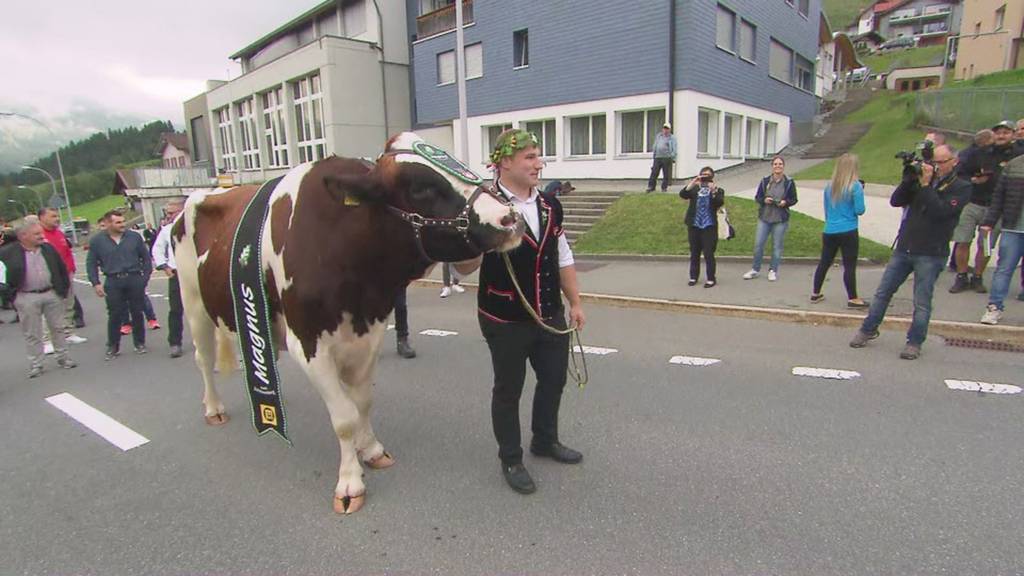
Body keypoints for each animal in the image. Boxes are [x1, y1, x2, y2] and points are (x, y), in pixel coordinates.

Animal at [173, 133, 524, 510]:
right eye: (420, 187)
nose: (510, 218)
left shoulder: (370, 333)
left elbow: (363, 402)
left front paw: (370, 449)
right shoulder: (308, 344)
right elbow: (343, 417)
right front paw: (350, 482)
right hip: (193, 302)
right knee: (203, 358)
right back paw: (214, 408)